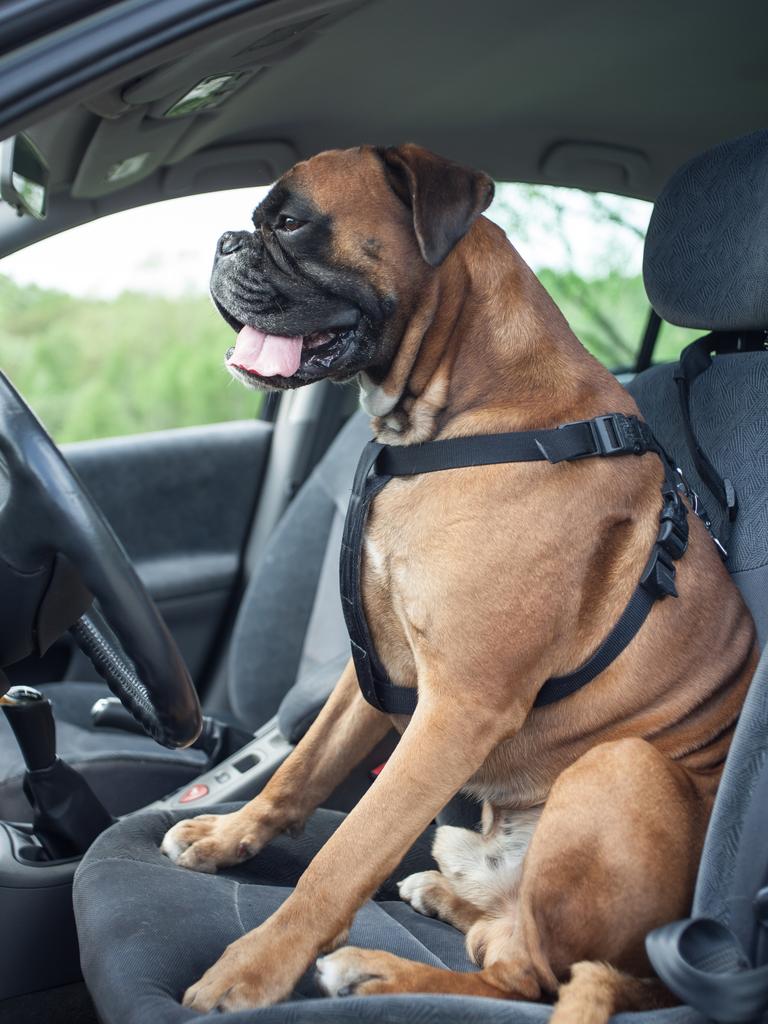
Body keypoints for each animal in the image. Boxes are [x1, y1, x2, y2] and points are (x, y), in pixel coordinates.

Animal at [162, 146, 757, 1024]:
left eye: (292, 222)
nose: (226, 242)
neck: (466, 405)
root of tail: (656, 980)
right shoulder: (375, 665)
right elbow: (302, 769)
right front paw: (225, 836)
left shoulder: (457, 707)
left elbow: (346, 852)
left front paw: (255, 967)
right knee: (498, 939)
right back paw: (443, 903)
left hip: (619, 769)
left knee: (528, 977)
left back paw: (374, 972)